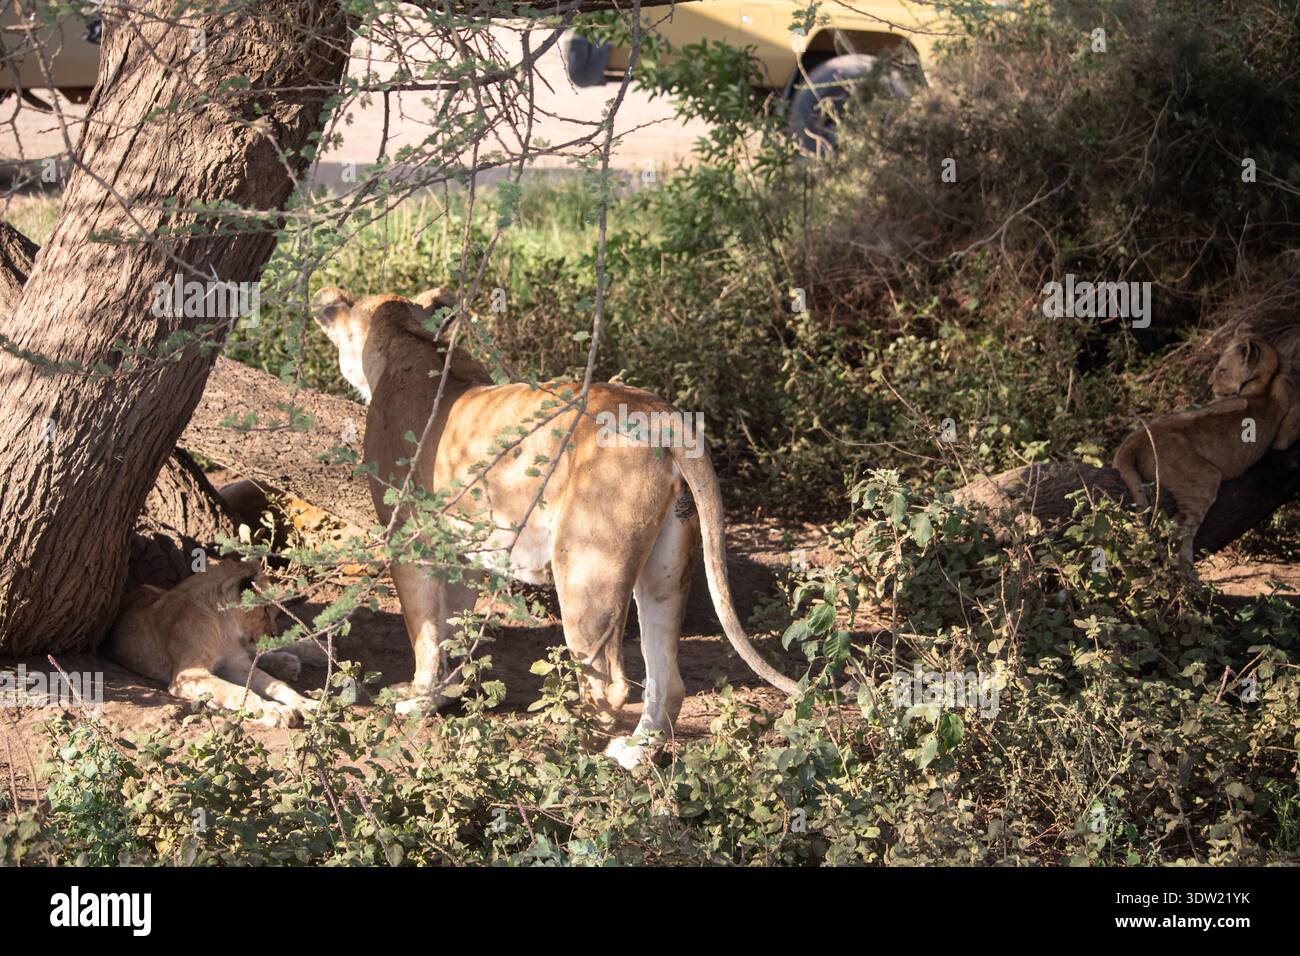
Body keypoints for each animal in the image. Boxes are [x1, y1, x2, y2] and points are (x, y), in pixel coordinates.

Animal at [104, 559, 320, 727]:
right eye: (266, 609)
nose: (274, 633)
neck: (224, 625)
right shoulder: (188, 675)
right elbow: (239, 691)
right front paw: (275, 710)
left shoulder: (234, 662)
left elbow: (276, 684)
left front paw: (307, 703)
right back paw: (291, 662)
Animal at [313, 286, 800, 768]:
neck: (406, 342)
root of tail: (659, 413)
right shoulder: (461, 552)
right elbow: (454, 628)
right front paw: (445, 695)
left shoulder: (407, 539)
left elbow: (425, 631)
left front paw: (418, 699)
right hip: (664, 568)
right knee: (668, 676)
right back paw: (636, 750)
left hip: (584, 563)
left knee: (608, 683)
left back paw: (569, 753)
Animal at [1112, 333, 1300, 563]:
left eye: (1222, 370)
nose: (1209, 385)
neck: (1269, 374)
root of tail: (1138, 436)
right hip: (1203, 478)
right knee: (1179, 525)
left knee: (1176, 524)